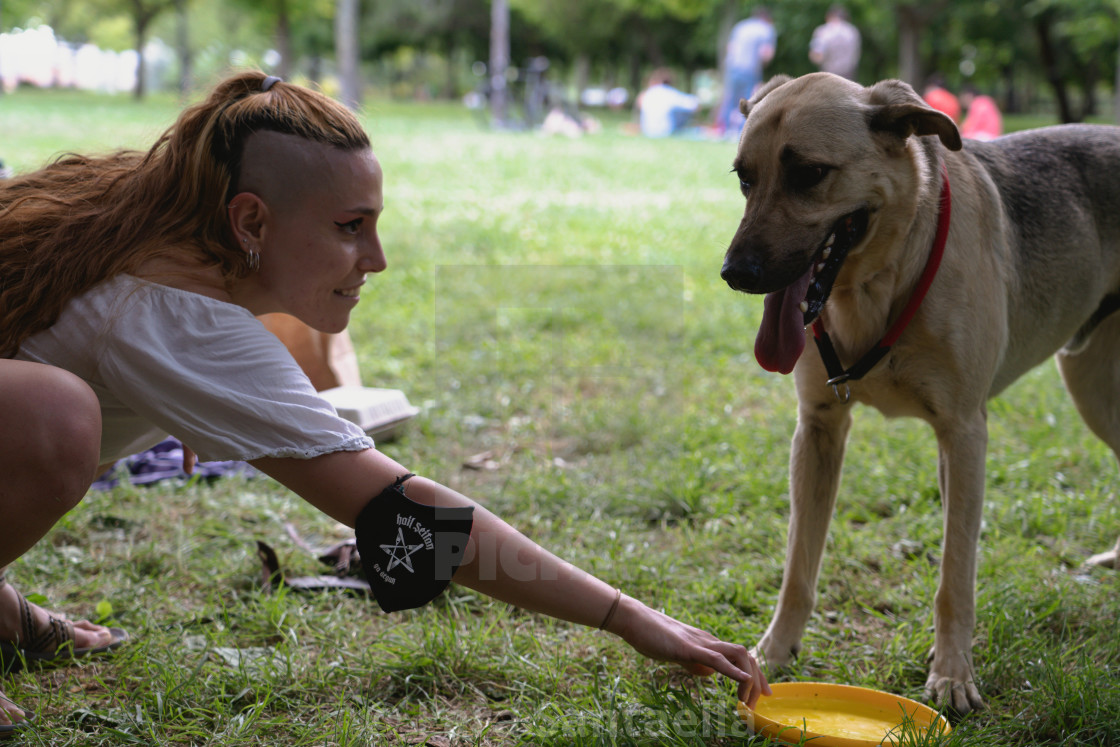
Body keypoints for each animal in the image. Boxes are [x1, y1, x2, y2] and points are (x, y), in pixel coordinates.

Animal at [716, 74, 1120, 712]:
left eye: (809, 173)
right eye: (744, 178)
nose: (736, 273)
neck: (881, 281)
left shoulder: (964, 435)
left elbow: (955, 576)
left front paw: (952, 674)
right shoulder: (819, 430)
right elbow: (798, 567)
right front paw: (772, 654)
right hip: (1093, 385)